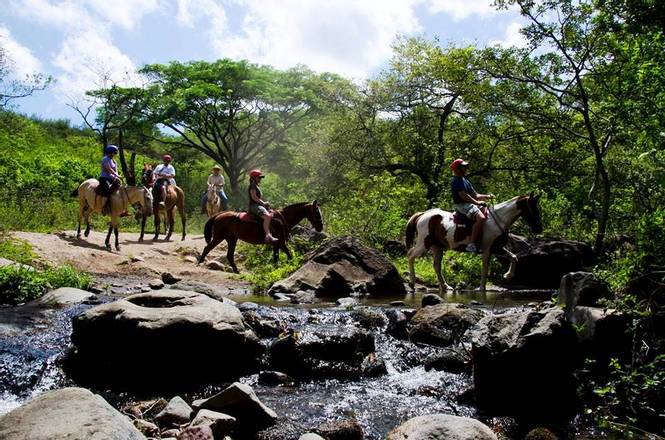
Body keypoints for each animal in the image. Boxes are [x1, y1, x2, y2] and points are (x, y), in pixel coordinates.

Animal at [404, 192, 540, 292]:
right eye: (532, 207)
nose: (539, 227)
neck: (498, 220)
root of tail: (422, 214)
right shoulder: (487, 249)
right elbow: (485, 268)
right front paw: (481, 288)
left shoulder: (497, 247)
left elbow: (514, 257)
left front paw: (508, 275)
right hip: (423, 243)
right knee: (410, 255)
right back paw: (412, 282)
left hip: (437, 246)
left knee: (436, 266)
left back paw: (445, 286)